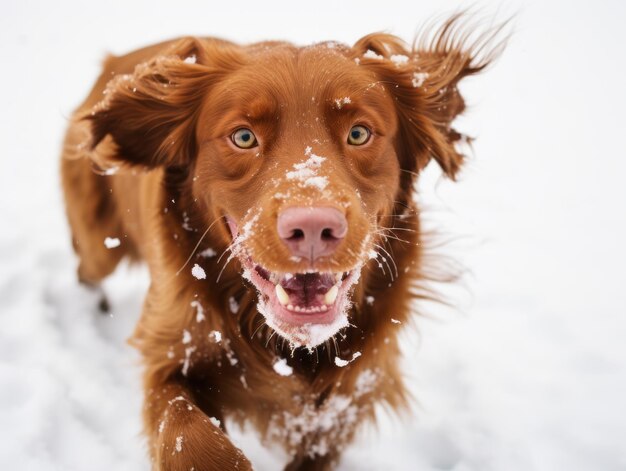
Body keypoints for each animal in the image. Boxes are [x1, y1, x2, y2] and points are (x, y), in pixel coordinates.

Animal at [59, 16, 502, 470]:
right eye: (243, 137)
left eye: (359, 133)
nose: (312, 227)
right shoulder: (169, 351)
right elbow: (188, 431)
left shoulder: (345, 399)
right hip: (101, 246)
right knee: (86, 267)